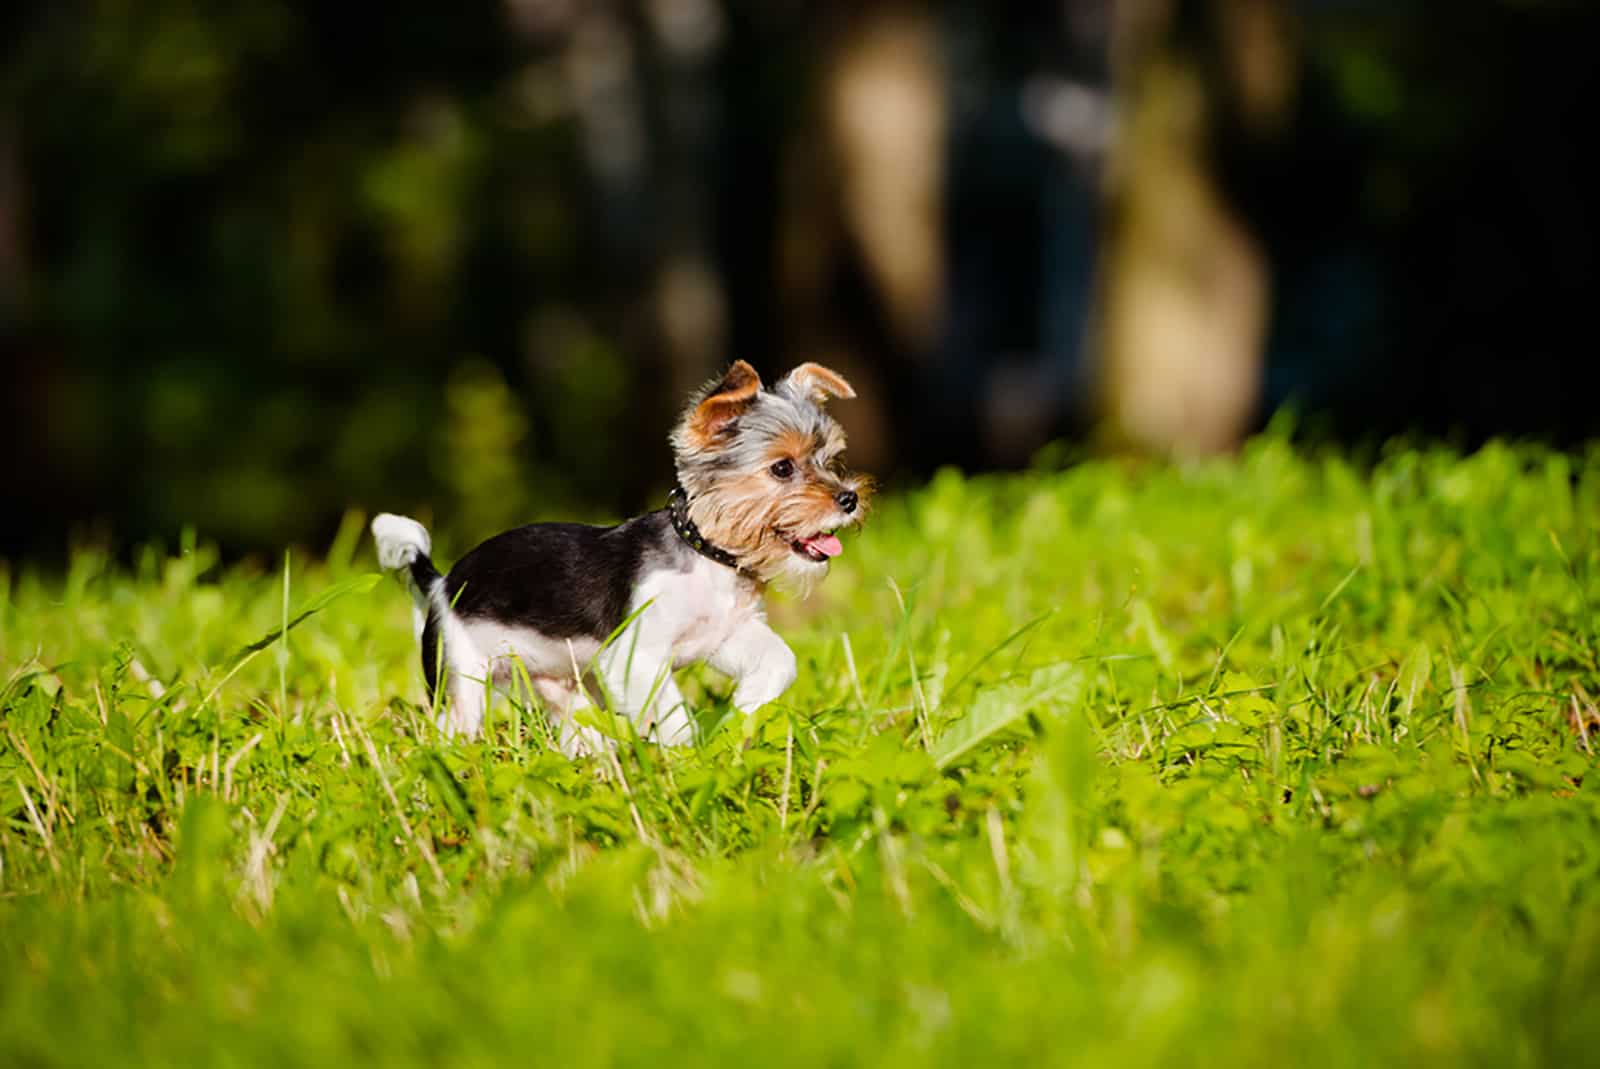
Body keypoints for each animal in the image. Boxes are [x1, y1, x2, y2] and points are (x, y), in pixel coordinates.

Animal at [369, 361, 870, 752]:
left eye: (831, 460)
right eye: (782, 468)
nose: (849, 499)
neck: (709, 561)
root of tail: (441, 581)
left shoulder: (728, 636)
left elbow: (779, 662)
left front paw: (743, 710)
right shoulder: (635, 657)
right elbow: (673, 714)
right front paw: (684, 756)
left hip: (561, 685)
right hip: (462, 678)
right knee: (454, 726)